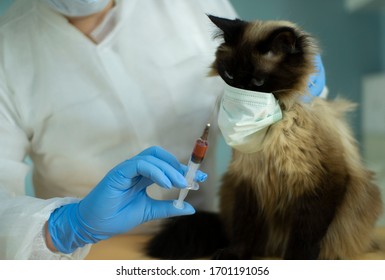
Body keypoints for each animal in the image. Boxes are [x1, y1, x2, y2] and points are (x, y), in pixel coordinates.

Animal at [146, 15, 382, 260]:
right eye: (229, 75)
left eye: (258, 82)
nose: (239, 90)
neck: (275, 129)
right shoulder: (250, 180)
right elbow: (244, 228)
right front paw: (234, 254)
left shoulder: (320, 183)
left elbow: (306, 234)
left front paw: (298, 259)